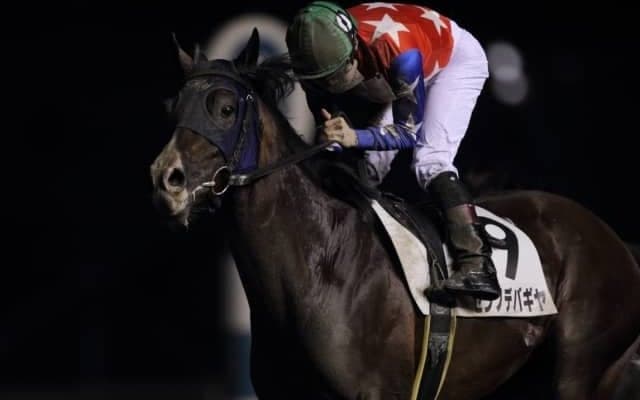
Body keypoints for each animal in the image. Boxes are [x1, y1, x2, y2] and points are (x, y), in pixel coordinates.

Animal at [149, 30, 640, 399]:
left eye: (225, 109)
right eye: (173, 107)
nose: (165, 179)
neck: (319, 266)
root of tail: (614, 241)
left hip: (583, 370)